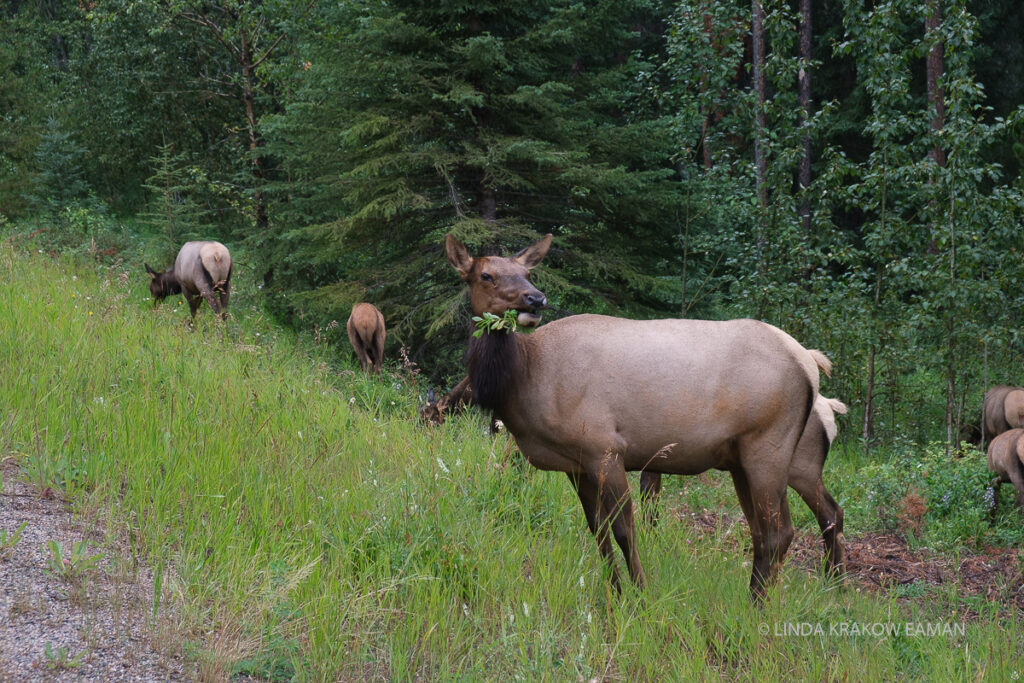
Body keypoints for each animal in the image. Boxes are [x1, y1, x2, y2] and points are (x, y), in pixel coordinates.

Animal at [442, 233, 839, 598]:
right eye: (486, 275)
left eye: (526, 272)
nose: (535, 299)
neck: (523, 378)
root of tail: (810, 364)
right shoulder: (574, 463)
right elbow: (597, 529)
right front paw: (615, 590)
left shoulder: (605, 448)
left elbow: (624, 529)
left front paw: (639, 593)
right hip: (742, 459)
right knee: (770, 528)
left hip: (769, 448)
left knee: (780, 530)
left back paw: (760, 603)